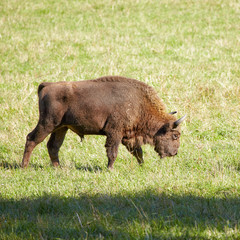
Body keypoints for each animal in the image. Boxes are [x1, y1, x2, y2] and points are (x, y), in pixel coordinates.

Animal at [22, 76, 186, 169]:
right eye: (175, 136)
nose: (174, 153)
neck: (138, 104)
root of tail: (47, 85)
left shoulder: (128, 136)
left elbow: (138, 152)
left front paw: (142, 166)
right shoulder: (115, 133)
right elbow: (112, 152)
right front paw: (110, 169)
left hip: (61, 128)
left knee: (53, 146)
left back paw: (58, 167)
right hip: (47, 124)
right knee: (31, 139)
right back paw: (24, 166)